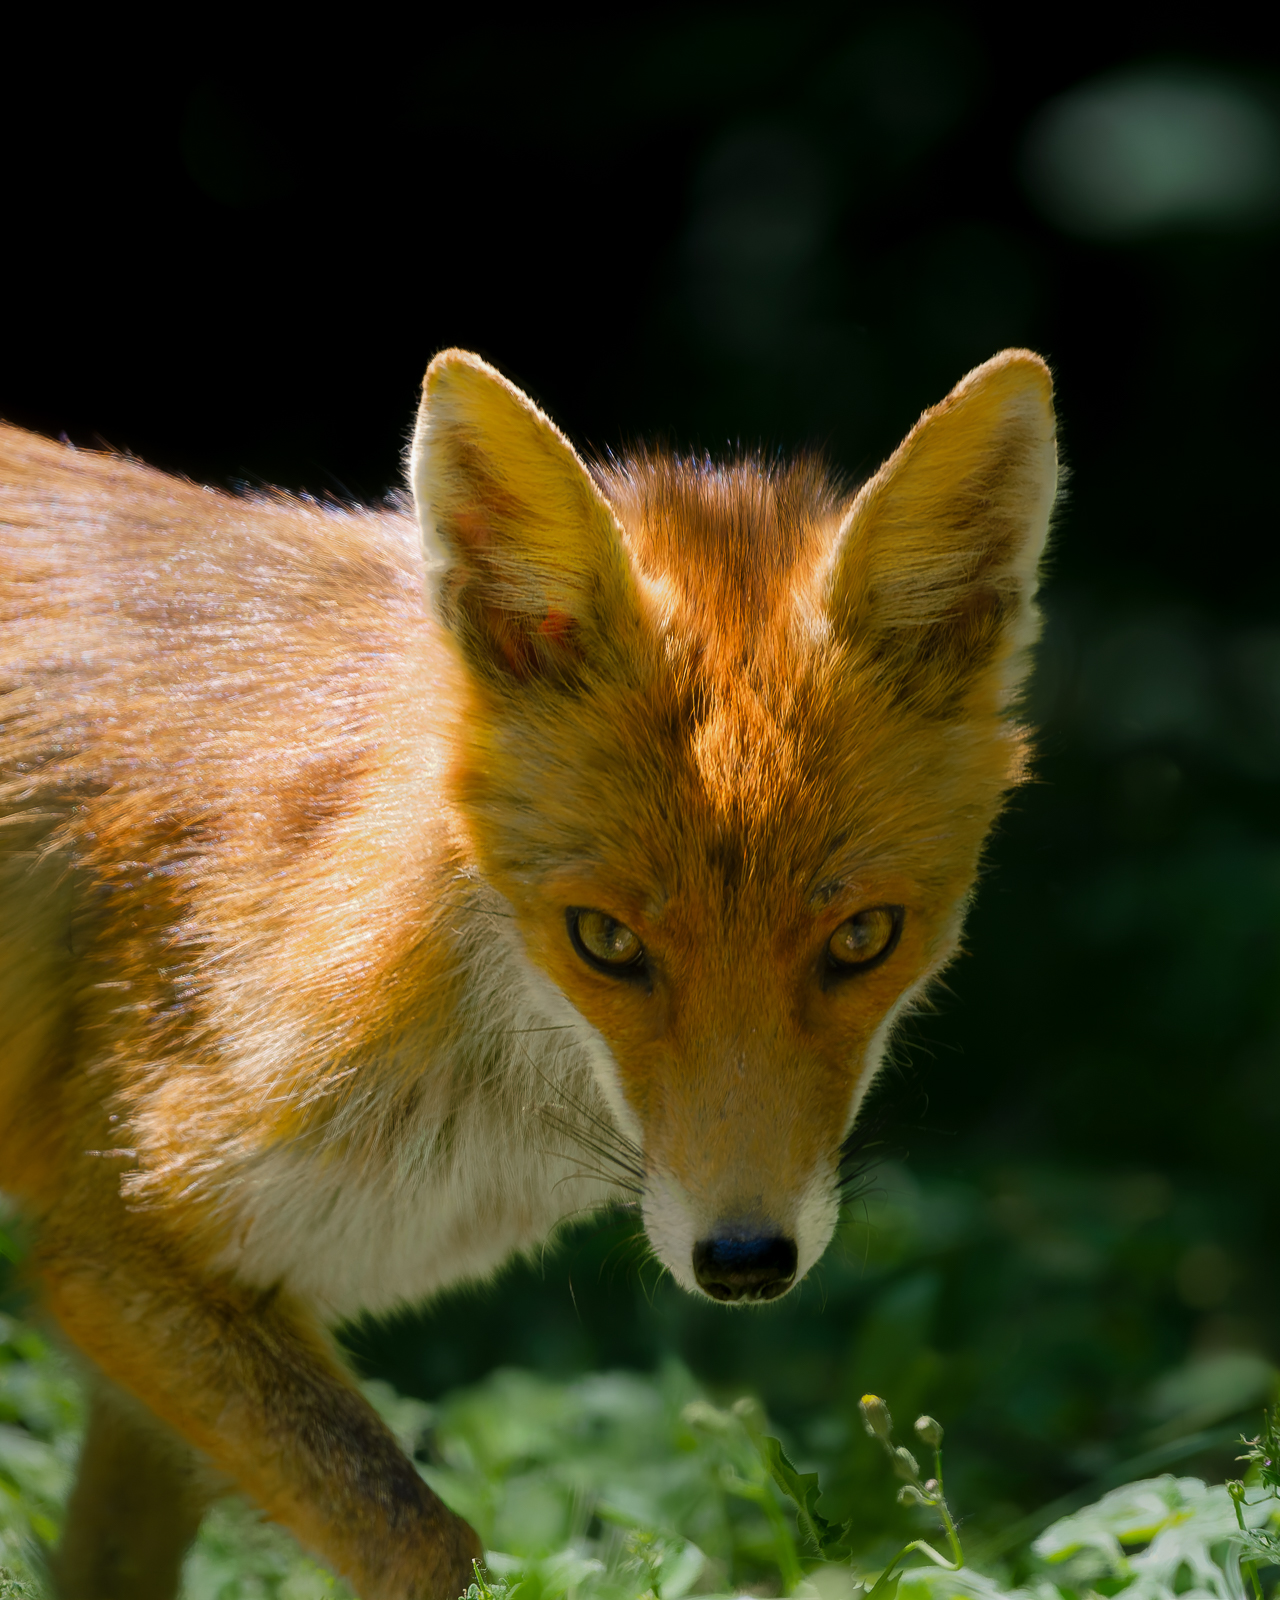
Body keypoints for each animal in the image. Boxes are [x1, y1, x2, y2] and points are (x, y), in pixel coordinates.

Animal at [0, 346, 1058, 1599]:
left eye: (862, 939)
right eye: (604, 940)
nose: (743, 1261)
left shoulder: (173, 1313)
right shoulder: (116, 1241)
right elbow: (429, 1540)